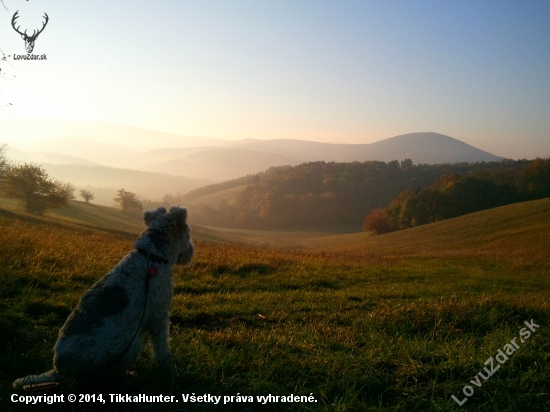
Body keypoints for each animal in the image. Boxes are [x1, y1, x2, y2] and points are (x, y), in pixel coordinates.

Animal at [12, 206, 196, 390]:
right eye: (187, 231)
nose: (191, 251)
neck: (151, 257)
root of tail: (59, 371)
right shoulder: (159, 316)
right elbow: (163, 350)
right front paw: (171, 373)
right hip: (130, 345)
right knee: (106, 376)